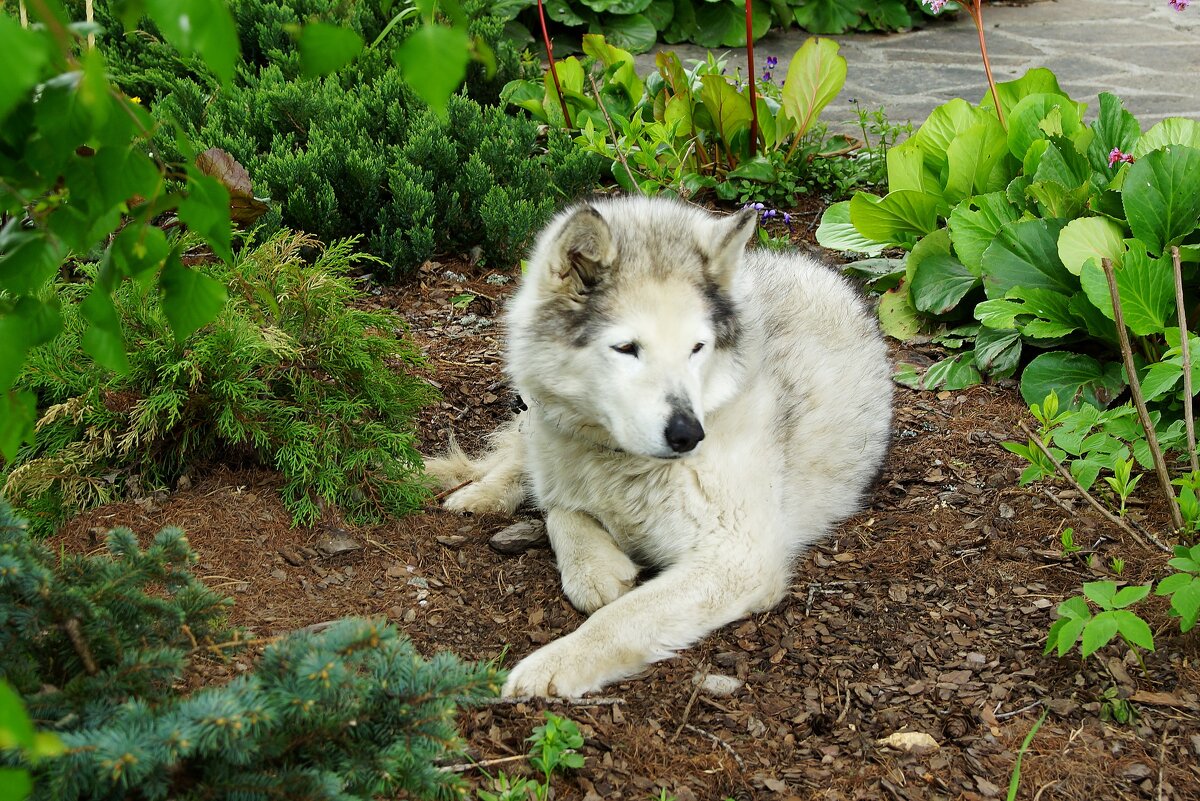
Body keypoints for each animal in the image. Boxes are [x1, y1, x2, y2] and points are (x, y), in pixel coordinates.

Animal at [427, 194, 897, 695]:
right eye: (627, 348)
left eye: (697, 348)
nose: (688, 434)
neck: (622, 463)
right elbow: (560, 510)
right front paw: (593, 567)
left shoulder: (737, 558)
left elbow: (620, 618)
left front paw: (553, 663)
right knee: (518, 459)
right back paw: (478, 494)